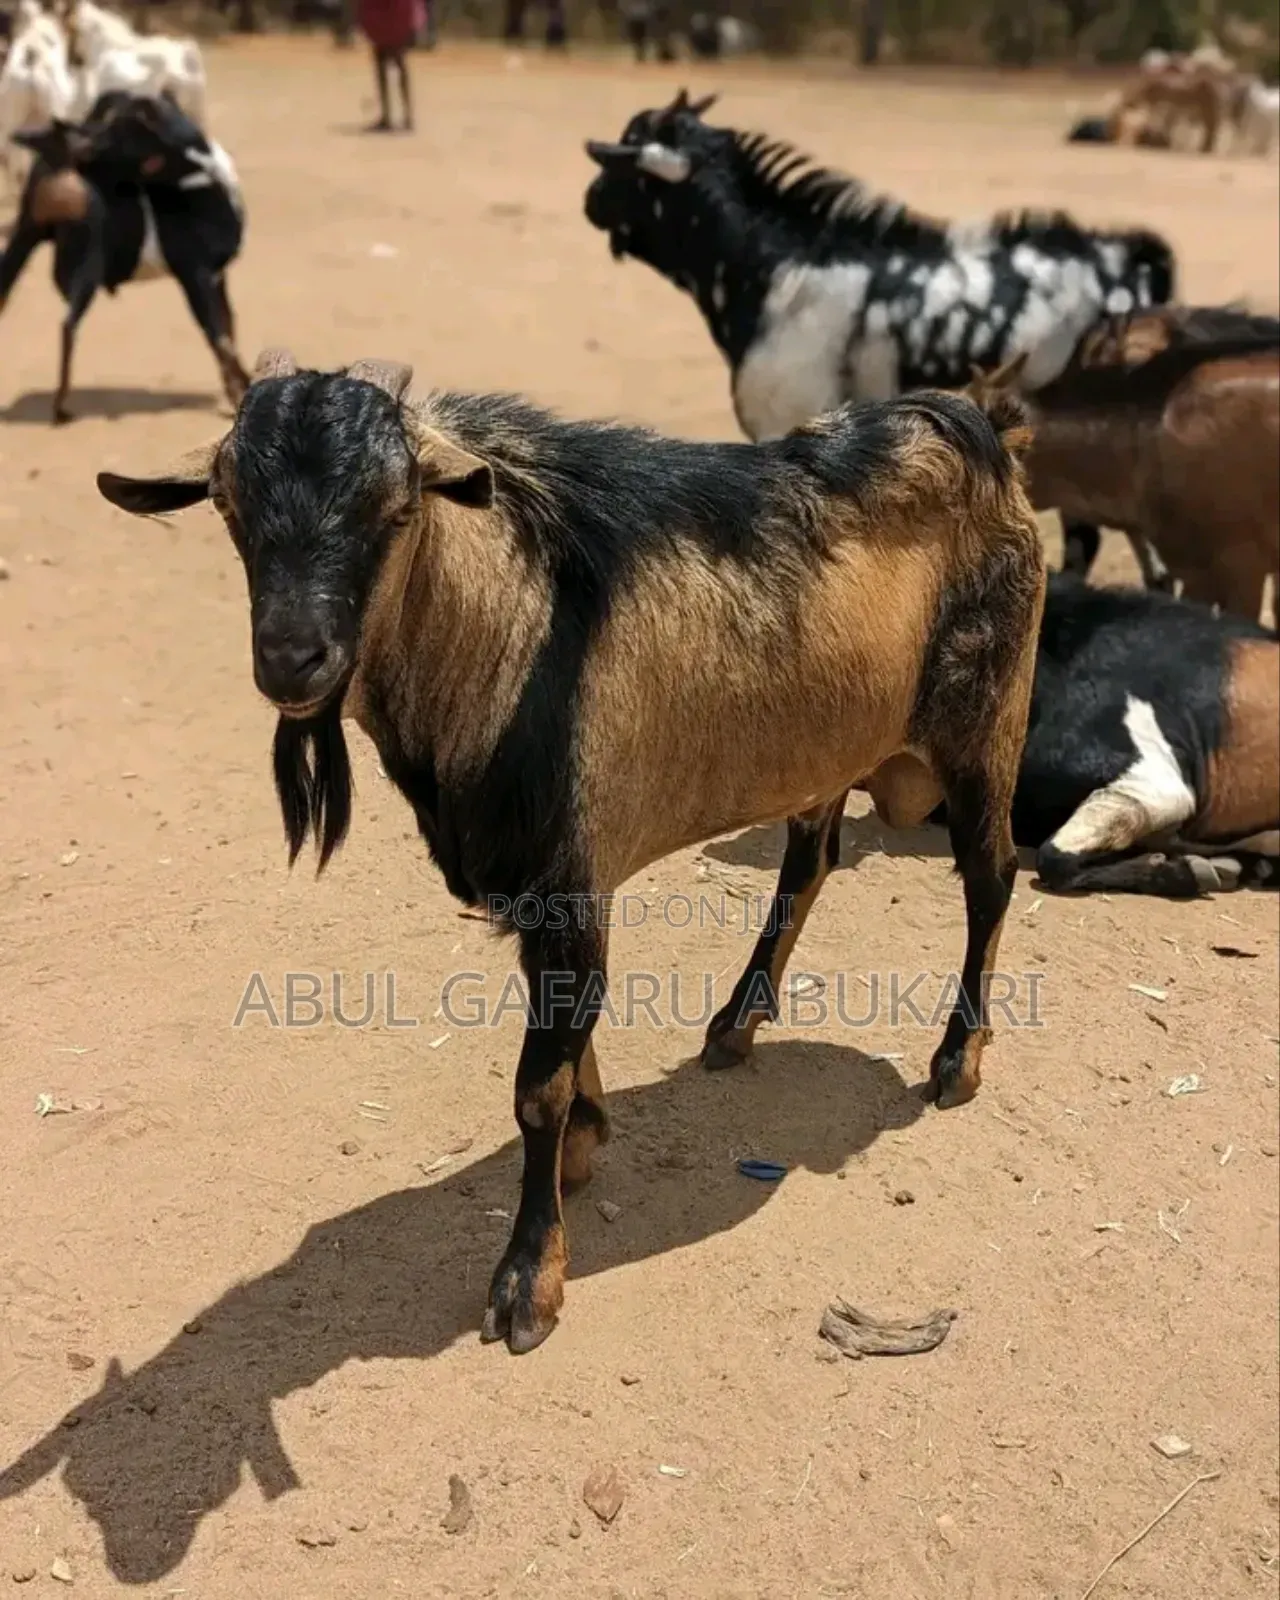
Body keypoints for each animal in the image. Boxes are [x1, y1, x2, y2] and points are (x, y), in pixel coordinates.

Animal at [0, 93, 247, 423]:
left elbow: (228, 329)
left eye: (121, 127)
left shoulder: (218, 278)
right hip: (87, 263)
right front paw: (239, 393)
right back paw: (61, 408)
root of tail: (56, 163)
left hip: (25, 238)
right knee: (68, 325)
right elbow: (219, 337)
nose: (85, 144)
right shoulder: (194, 275)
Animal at [96, 350, 1047, 1353]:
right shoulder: (538, 891)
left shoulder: (569, 883)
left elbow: (537, 1085)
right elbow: (565, 1036)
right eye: (228, 505)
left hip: (986, 726)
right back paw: (734, 1025)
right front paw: (589, 1141)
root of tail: (979, 429)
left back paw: (956, 1062)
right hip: (829, 746)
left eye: (395, 508)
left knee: (990, 877)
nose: (291, 659)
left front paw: (529, 1282)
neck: (505, 627)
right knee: (810, 860)